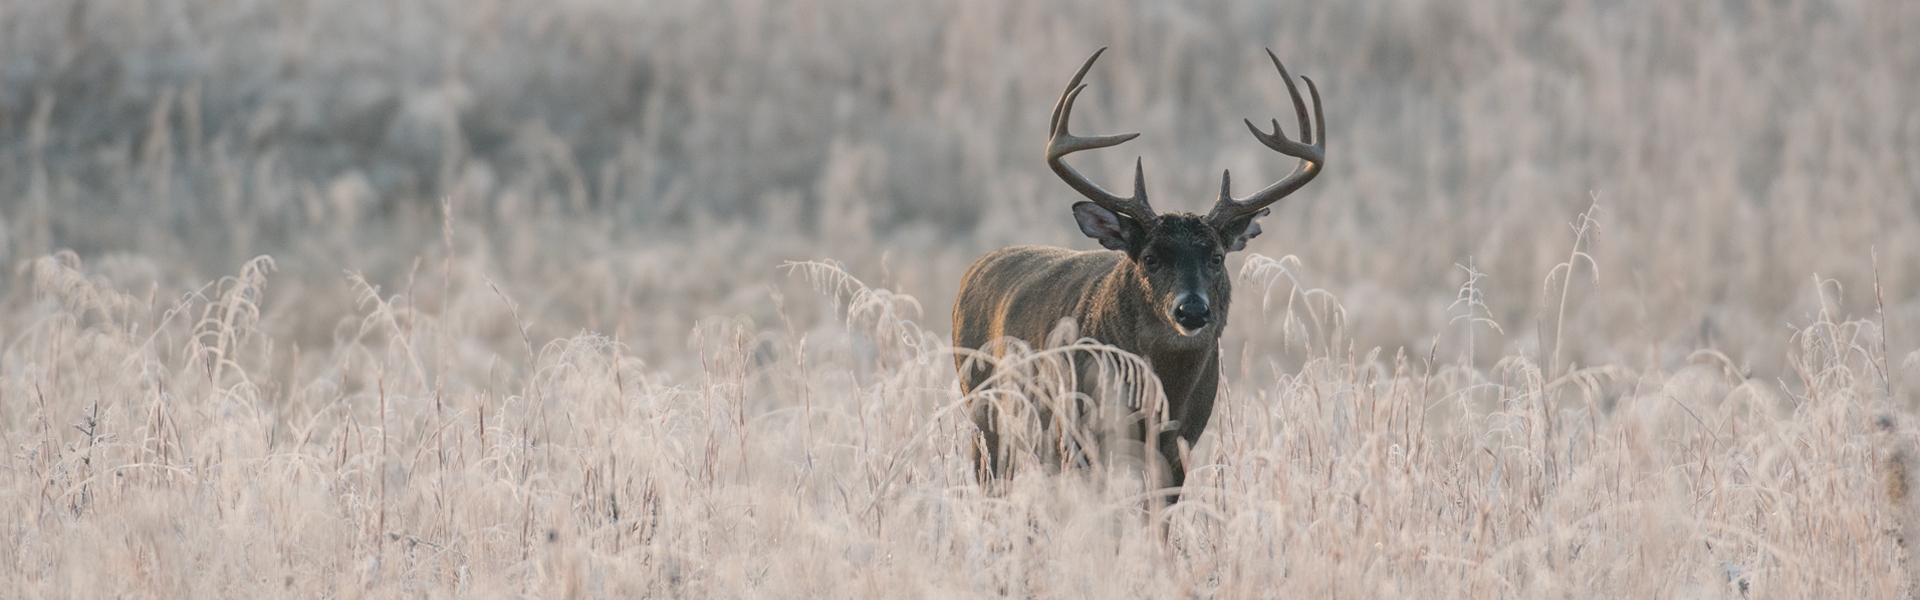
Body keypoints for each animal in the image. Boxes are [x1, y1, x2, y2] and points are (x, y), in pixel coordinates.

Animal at [952, 47, 1324, 502]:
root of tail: (975, 268)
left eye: (1217, 256)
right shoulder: (1077, 434)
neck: (1162, 395)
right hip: (983, 409)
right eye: (1150, 257)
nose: (1192, 310)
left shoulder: (1180, 446)